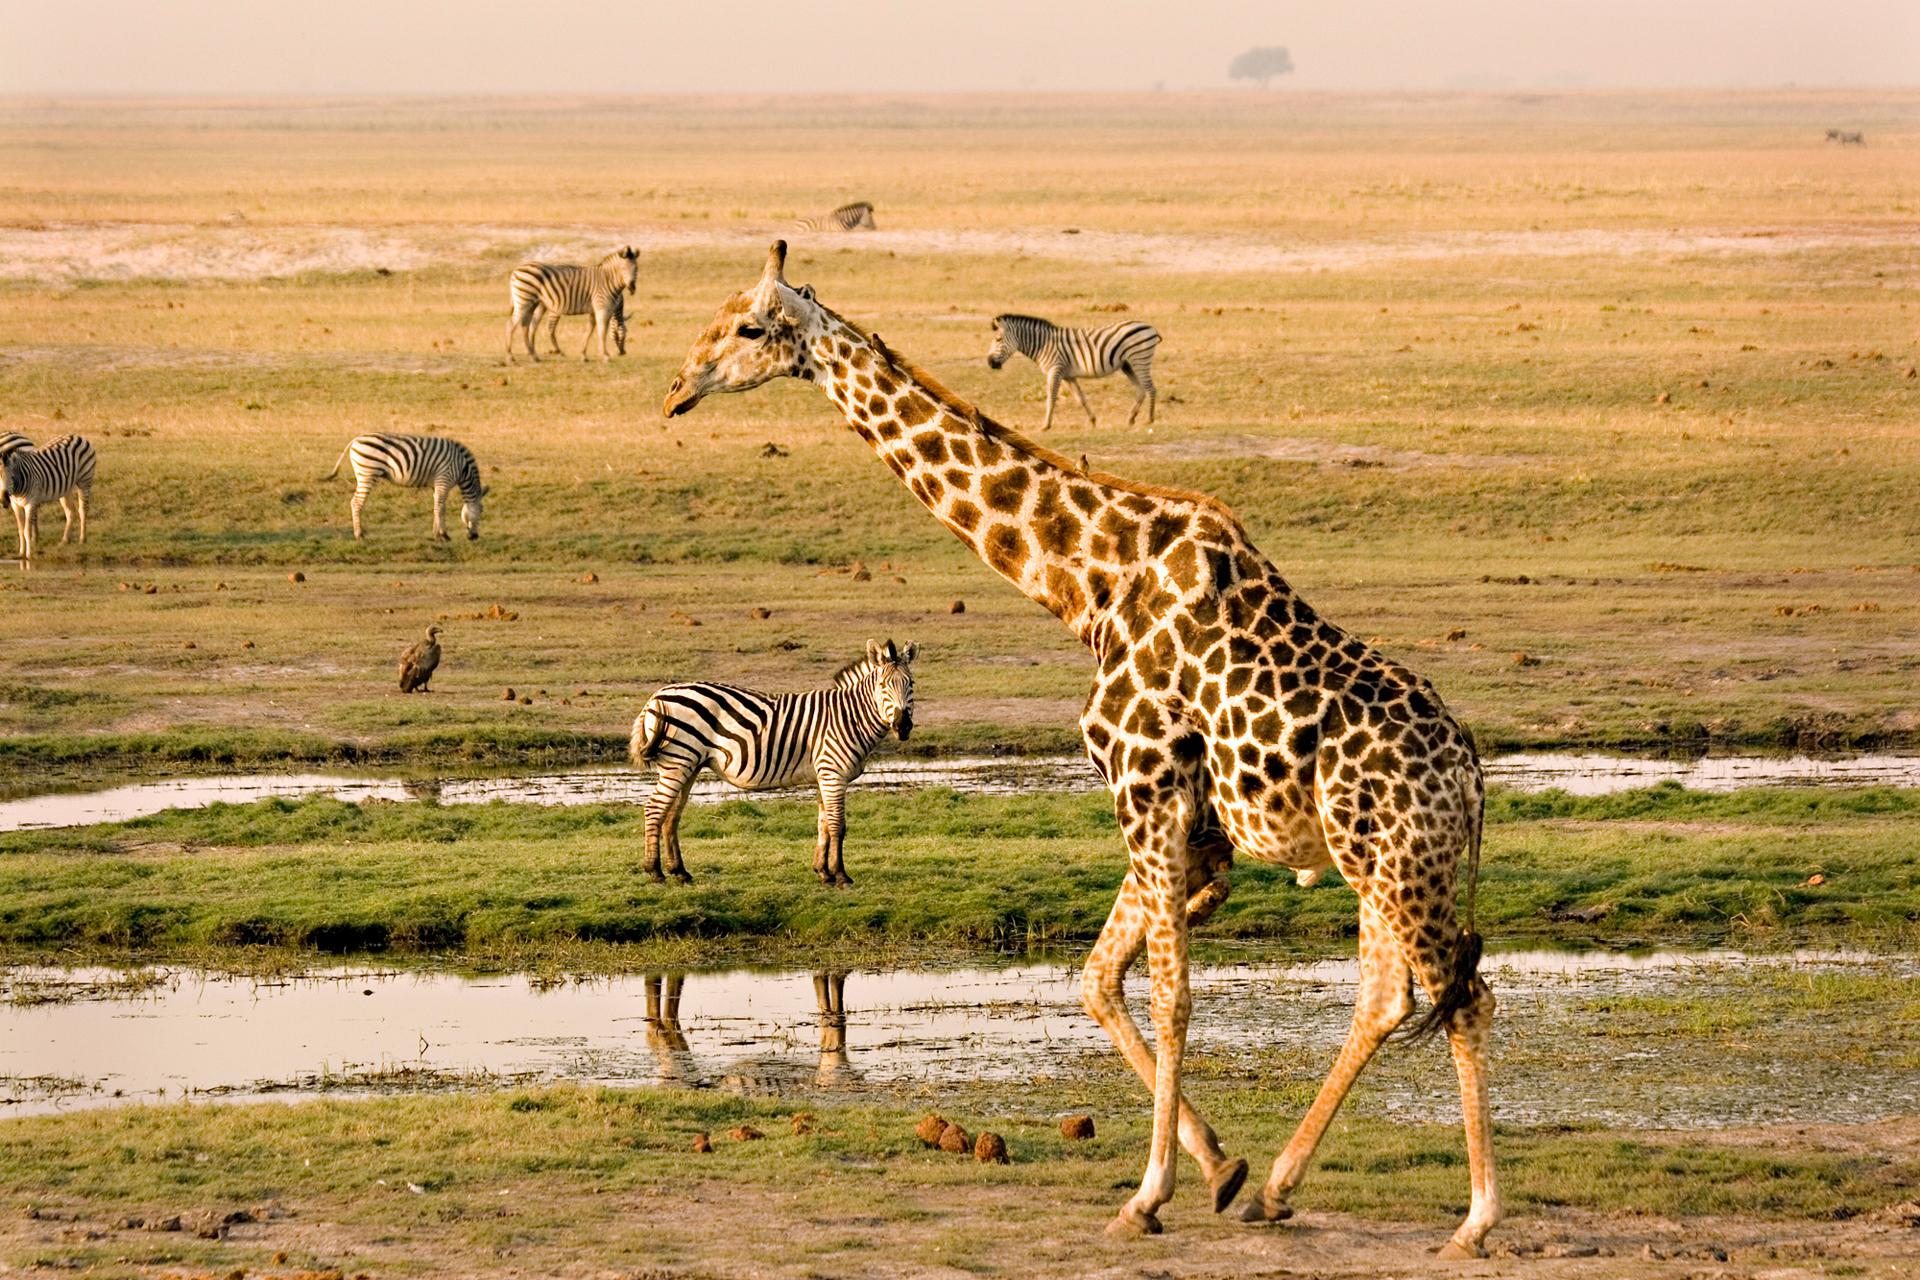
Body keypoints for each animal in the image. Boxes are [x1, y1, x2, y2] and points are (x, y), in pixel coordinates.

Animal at [2, 434, 96, 562]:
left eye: (12, 477)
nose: (4, 500)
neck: (17, 491)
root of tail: (77, 436)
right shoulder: (15, 505)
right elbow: (20, 530)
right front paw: (21, 553)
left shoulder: (30, 503)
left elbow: (27, 531)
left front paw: (28, 555)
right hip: (65, 487)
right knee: (70, 511)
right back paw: (65, 540)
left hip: (85, 480)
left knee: (83, 510)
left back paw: (82, 539)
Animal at [321, 433, 486, 541]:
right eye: (481, 511)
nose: (474, 537)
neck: (463, 468)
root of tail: (355, 439)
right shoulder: (444, 479)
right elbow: (440, 508)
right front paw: (442, 535)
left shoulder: (437, 484)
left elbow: (438, 507)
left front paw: (437, 533)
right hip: (367, 473)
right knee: (356, 502)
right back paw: (359, 534)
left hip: (363, 472)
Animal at [504, 246, 639, 363]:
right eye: (623, 268)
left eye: (636, 269)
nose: (622, 352)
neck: (608, 280)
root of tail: (516, 270)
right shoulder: (603, 308)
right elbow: (602, 331)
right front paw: (605, 355)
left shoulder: (594, 310)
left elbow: (589, 330)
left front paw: (584, 355)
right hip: (523, 301)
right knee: (511, 324)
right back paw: (510, 356)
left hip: (532, 303)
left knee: (526, 325)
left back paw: (533, 355)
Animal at [629, 639, 917, 887]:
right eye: (882, 685)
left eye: (911, 683)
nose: (903, 727)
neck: (850, 717)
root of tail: (657, 696)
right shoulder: (833, 774)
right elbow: (838, 825)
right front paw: (841, 875)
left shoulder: (824, 775)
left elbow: (823, 824)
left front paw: (823, 872)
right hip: (678, 761)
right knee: (654, 809)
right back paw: (655, 871)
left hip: (689, 764)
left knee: (671, 815)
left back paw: (680, 872)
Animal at [985, 313, 1161, 430]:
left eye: (998, 339)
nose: (990, 363)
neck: (1044, 344)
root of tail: (1150, 327)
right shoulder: (1068, 375)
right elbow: (1080, 398)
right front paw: (1092, 420)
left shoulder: (1055, 370)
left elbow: (1051, 399)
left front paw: (1046, 425)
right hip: (1128, 365)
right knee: (1142, 389)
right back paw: (1131, 418)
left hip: (1139, 359)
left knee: (1151, 388)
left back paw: (1150, 419)